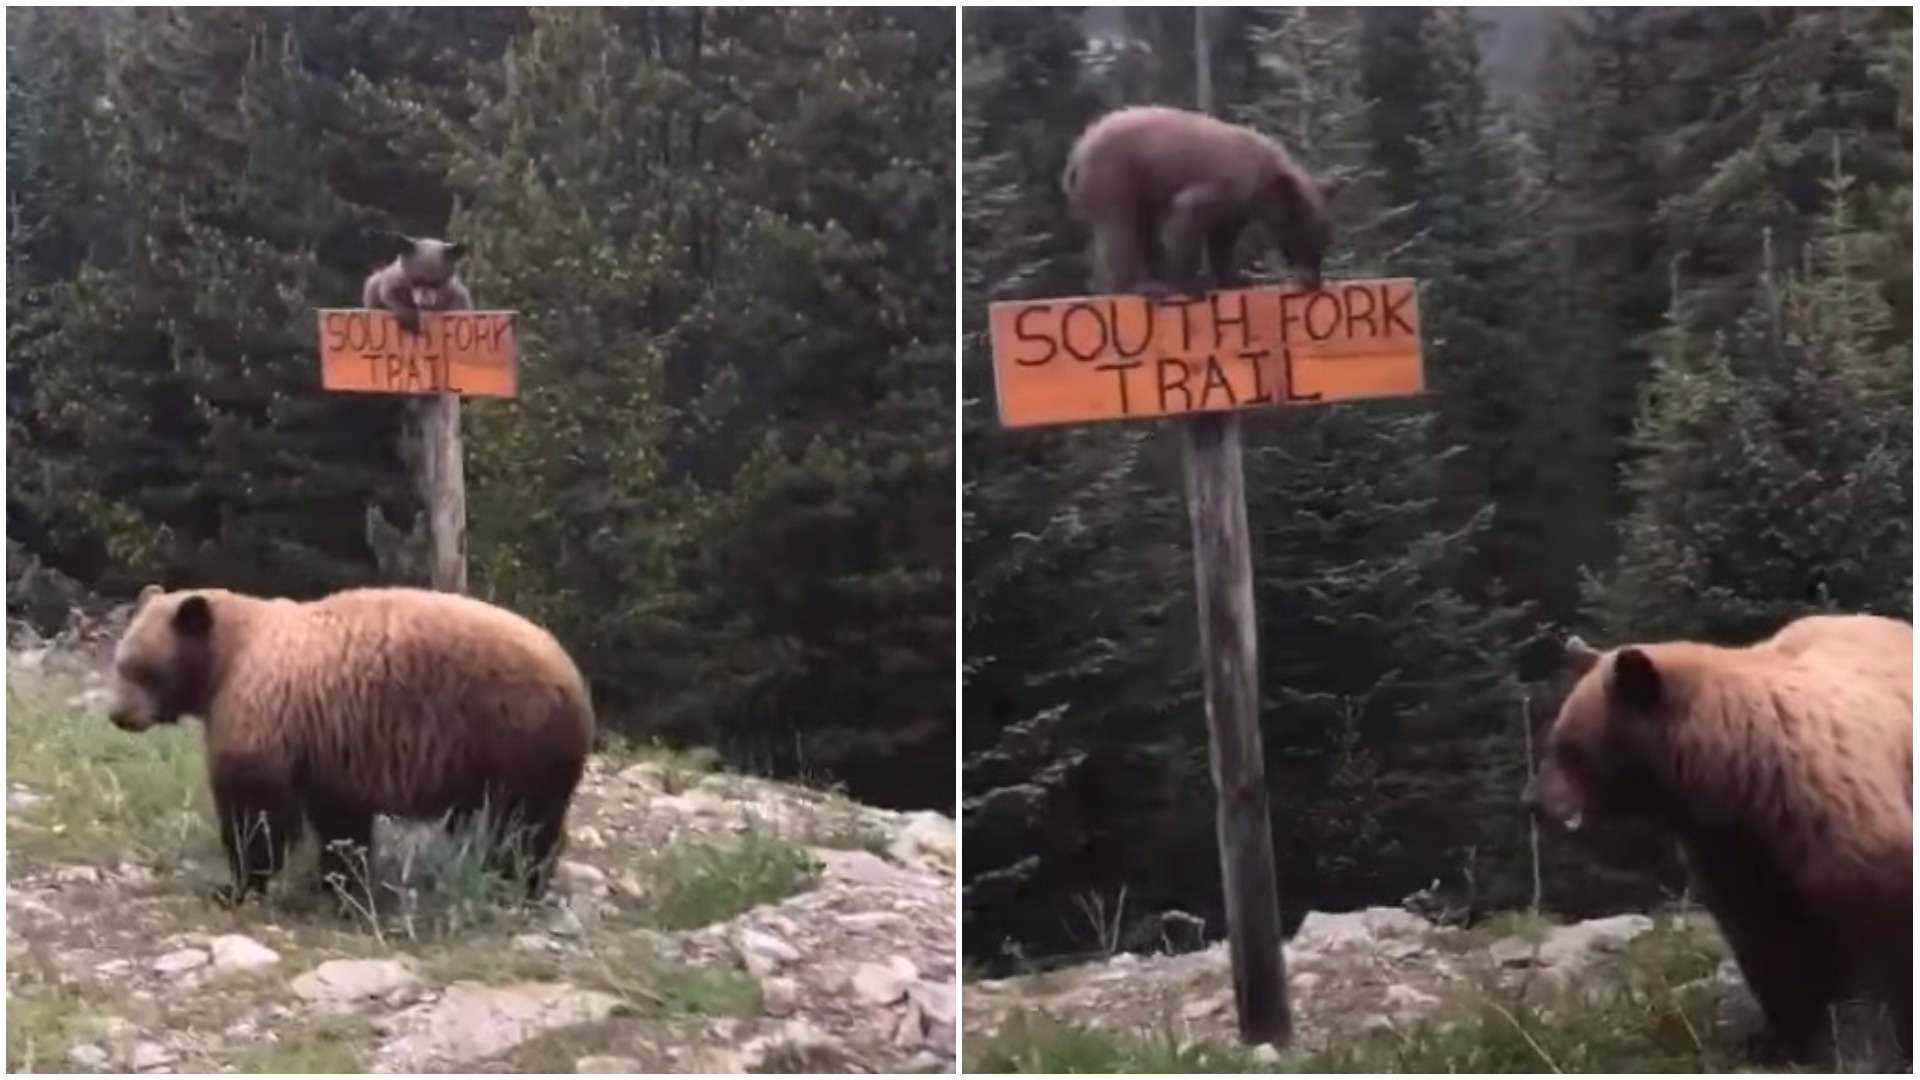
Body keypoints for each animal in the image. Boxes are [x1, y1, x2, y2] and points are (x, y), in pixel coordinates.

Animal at [105, 584, 594, 907]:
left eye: (143, 669)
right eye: (121, 661)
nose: (119, 716)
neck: (225, 659)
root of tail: (574, 677)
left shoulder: (264, 712)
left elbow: (256, 812)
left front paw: (235, 886)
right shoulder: (329, 745)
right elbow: (340, 821)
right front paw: (339, 883)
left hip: (512, 733)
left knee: (520, 824)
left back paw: (517, 883)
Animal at [1528, 613, 1912, 1064]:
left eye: (1572, 748)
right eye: (1555, 740)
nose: (1531, 802)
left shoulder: (1841, 820)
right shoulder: (1732, 847)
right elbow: (1768, 945)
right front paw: (1782, 1041)